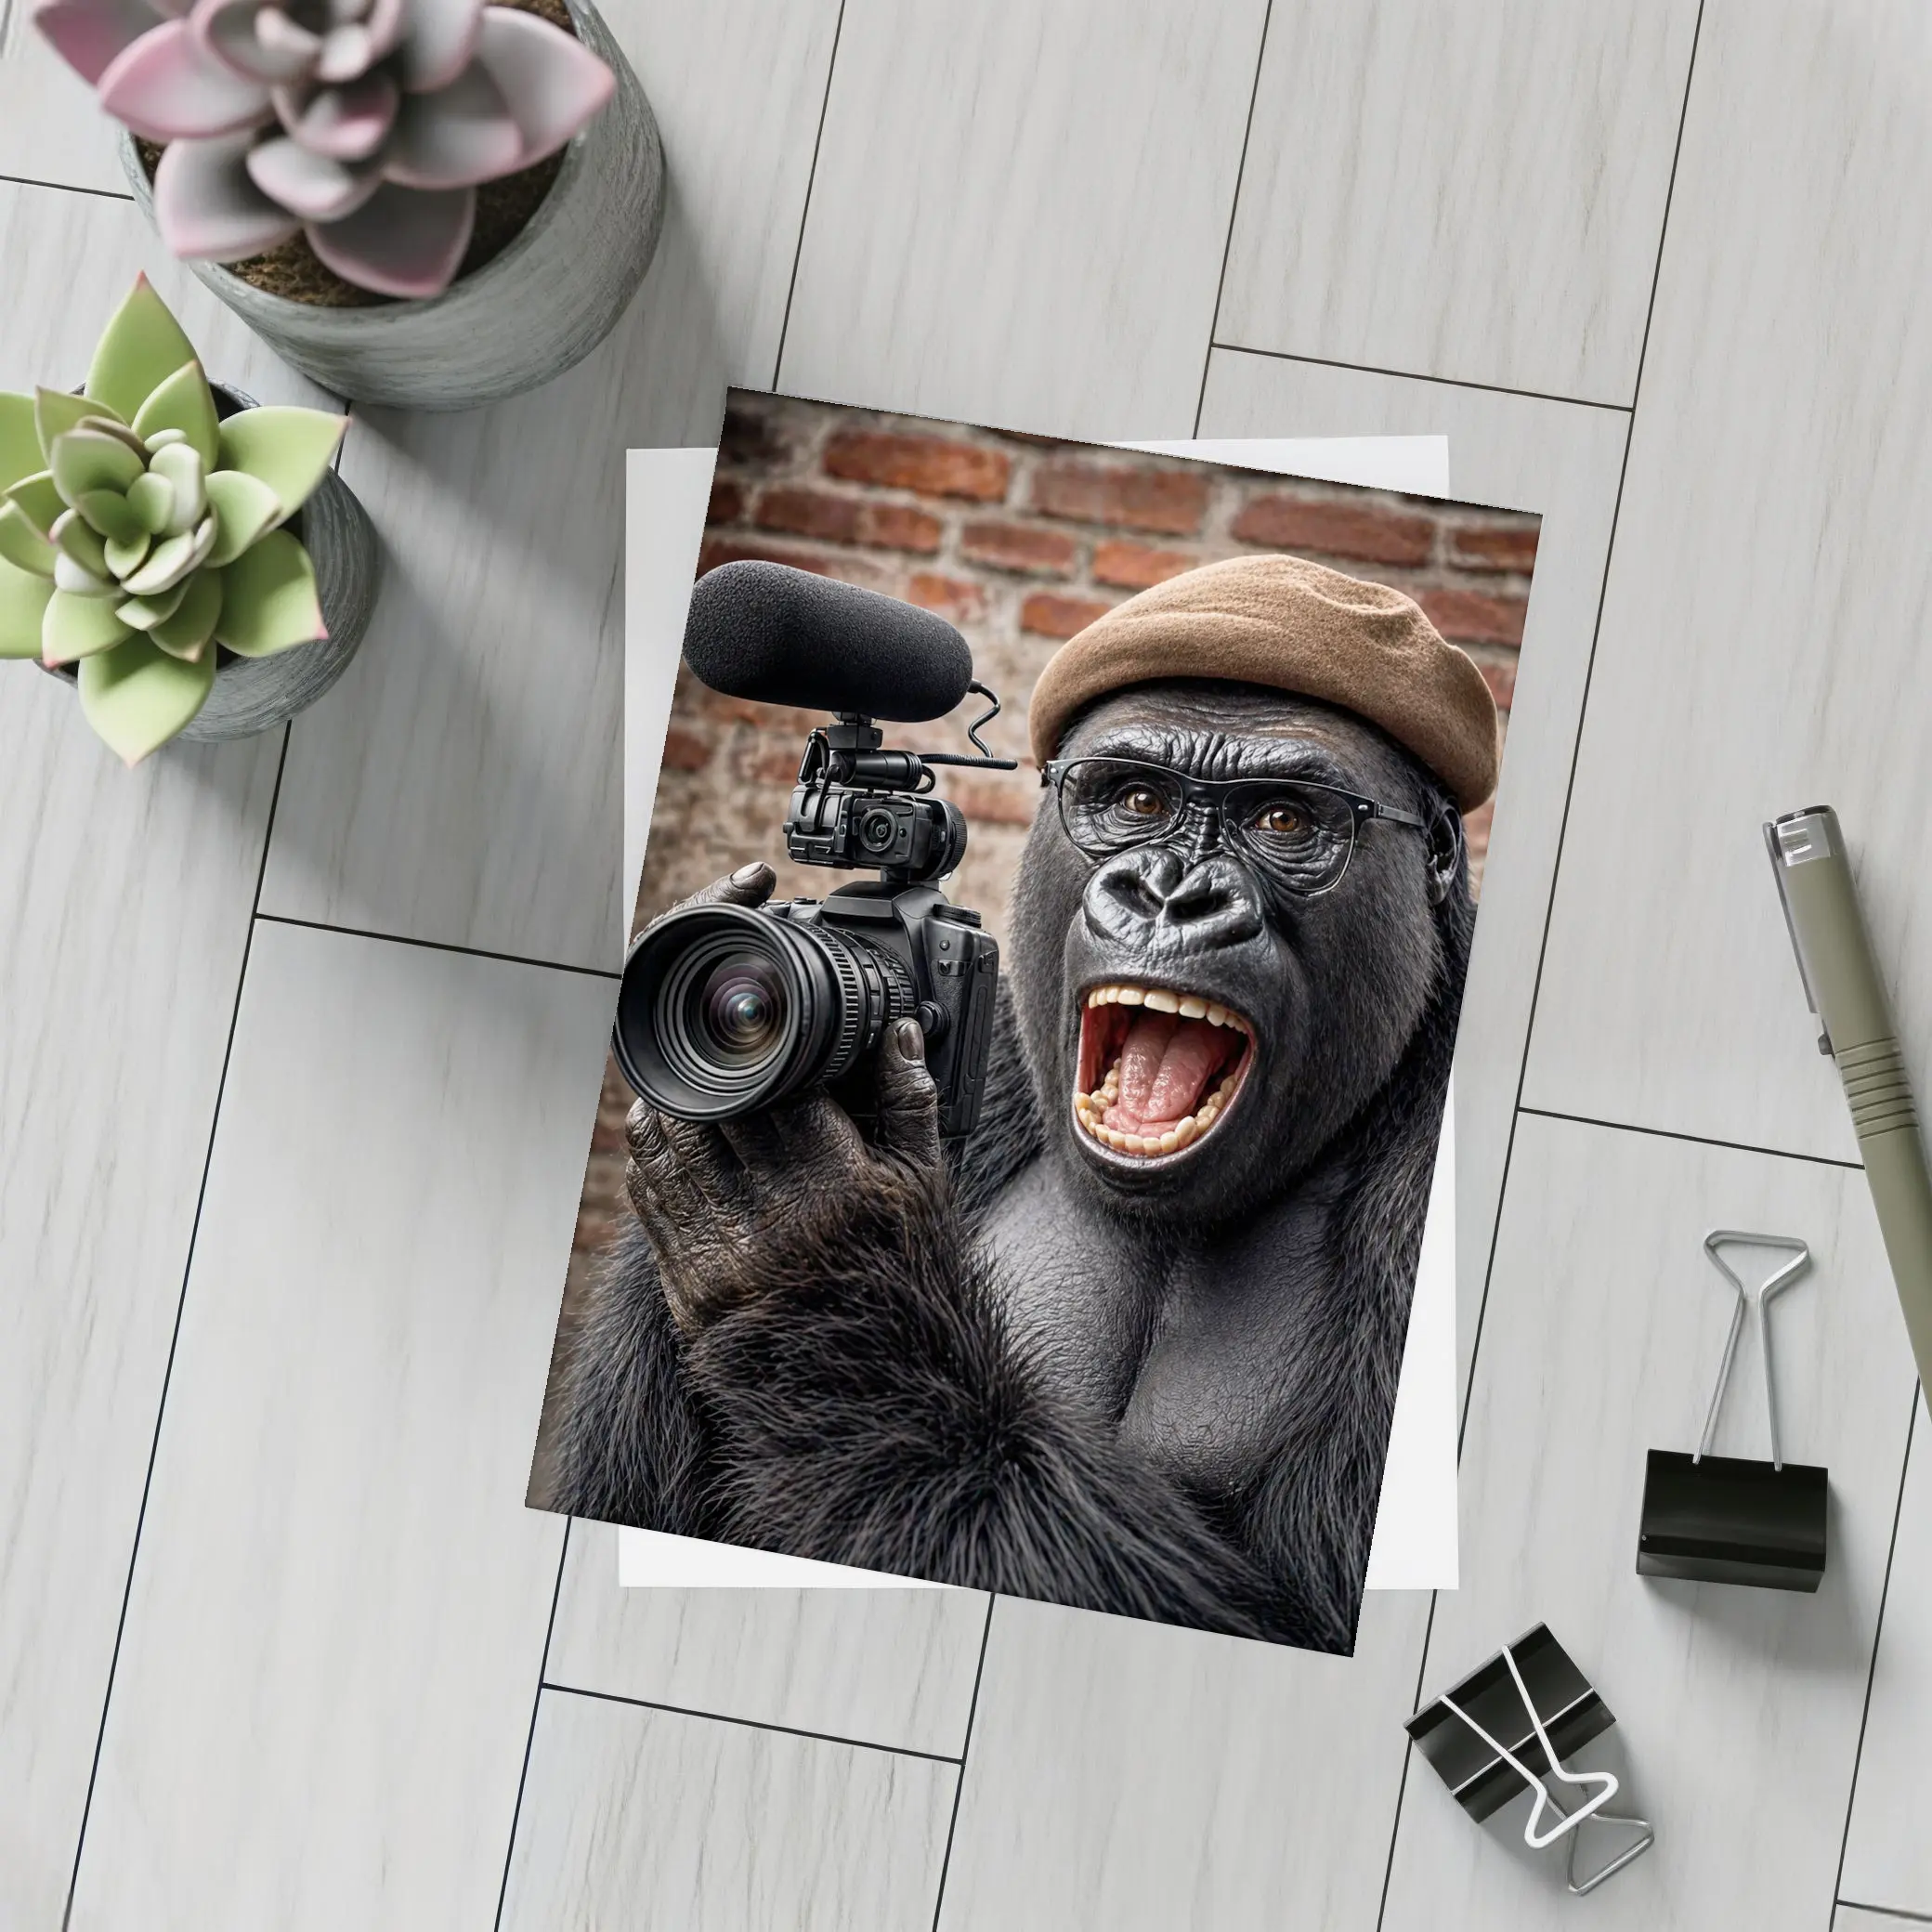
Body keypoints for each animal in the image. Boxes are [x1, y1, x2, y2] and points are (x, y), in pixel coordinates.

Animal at [548, 677, 1473, 1653]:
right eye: (1138, 802)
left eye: (1284, 819)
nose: (1171, 892)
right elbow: (633, 1500)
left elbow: (1275, 1607)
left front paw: (819, 1254)